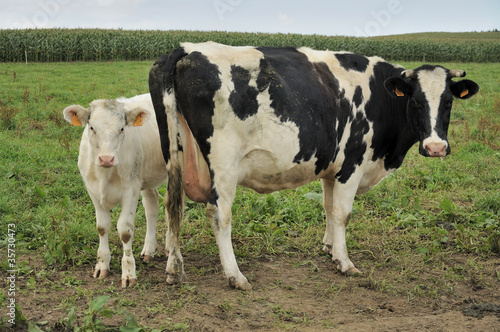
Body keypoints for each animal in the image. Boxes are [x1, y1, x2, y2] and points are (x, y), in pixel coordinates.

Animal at [63, 93, 166, 288]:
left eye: (122, 129)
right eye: (92, 128)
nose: (106, 158)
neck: (105, 174)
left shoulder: (131, 189)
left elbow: (125, 230)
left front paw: (128, 273)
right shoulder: (92, 190)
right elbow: (102, 226)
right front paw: (102, 265)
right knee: (152, 207)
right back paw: (149, 250)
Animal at [148, 42, 480, 290]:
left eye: (448, 101)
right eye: (415, 101)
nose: (435, 147)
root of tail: (186, 49)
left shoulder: (331, 169)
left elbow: (328, 207)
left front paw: (330, 248)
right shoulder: (352, 164)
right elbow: (343, 213)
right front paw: (345, 262)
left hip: (175, 154)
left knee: (172, 204)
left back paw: (173, 267)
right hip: (224, 163)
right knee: (219, 214)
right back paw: (235, 275)